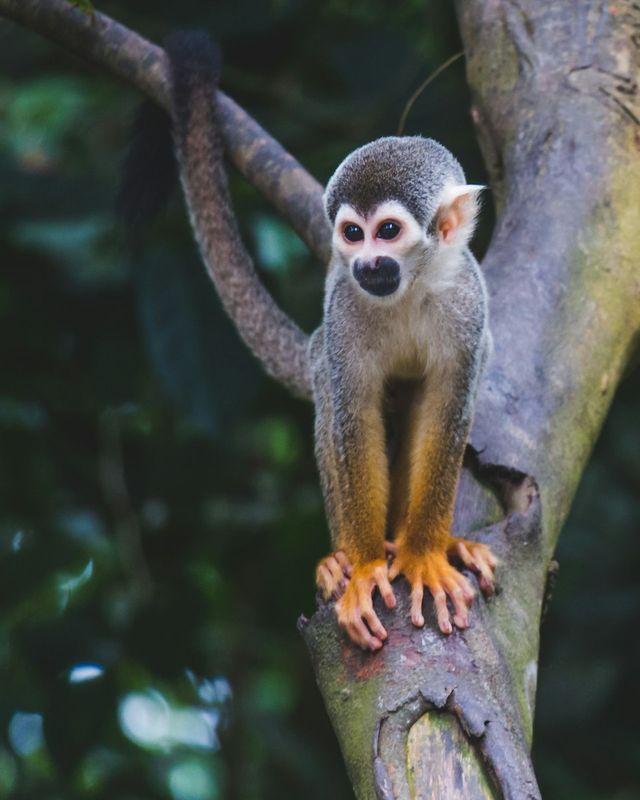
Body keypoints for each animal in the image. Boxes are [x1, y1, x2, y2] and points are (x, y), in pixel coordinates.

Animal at [125, 32, 496, 653]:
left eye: (387, 232)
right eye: (353, 233)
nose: (367, 263)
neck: (412, 288)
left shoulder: (468, 303)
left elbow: (448, 405)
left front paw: (424, 553)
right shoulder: (343, 306)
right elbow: (353, 414)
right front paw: (367, 568)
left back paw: (439, 543)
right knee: (329, 387)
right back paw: (341, 560)